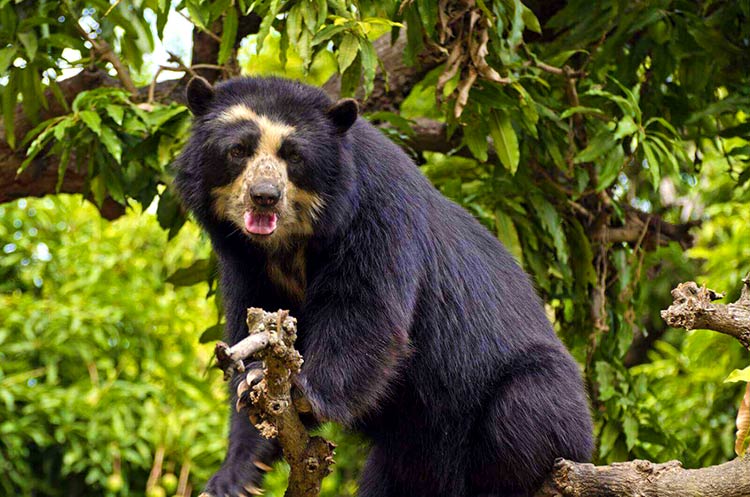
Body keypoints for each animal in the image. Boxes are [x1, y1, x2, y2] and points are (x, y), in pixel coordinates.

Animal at [176, 74, 592, 496]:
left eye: (294, 156)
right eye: (238, 151)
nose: (265, 197)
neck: (290, 245)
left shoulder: (377, 215)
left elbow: (365, 312)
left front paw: (301, 392)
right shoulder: (245, 264)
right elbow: (253, 329)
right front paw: (235, 468)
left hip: (538, 401)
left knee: (521, 412)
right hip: (403, 454)